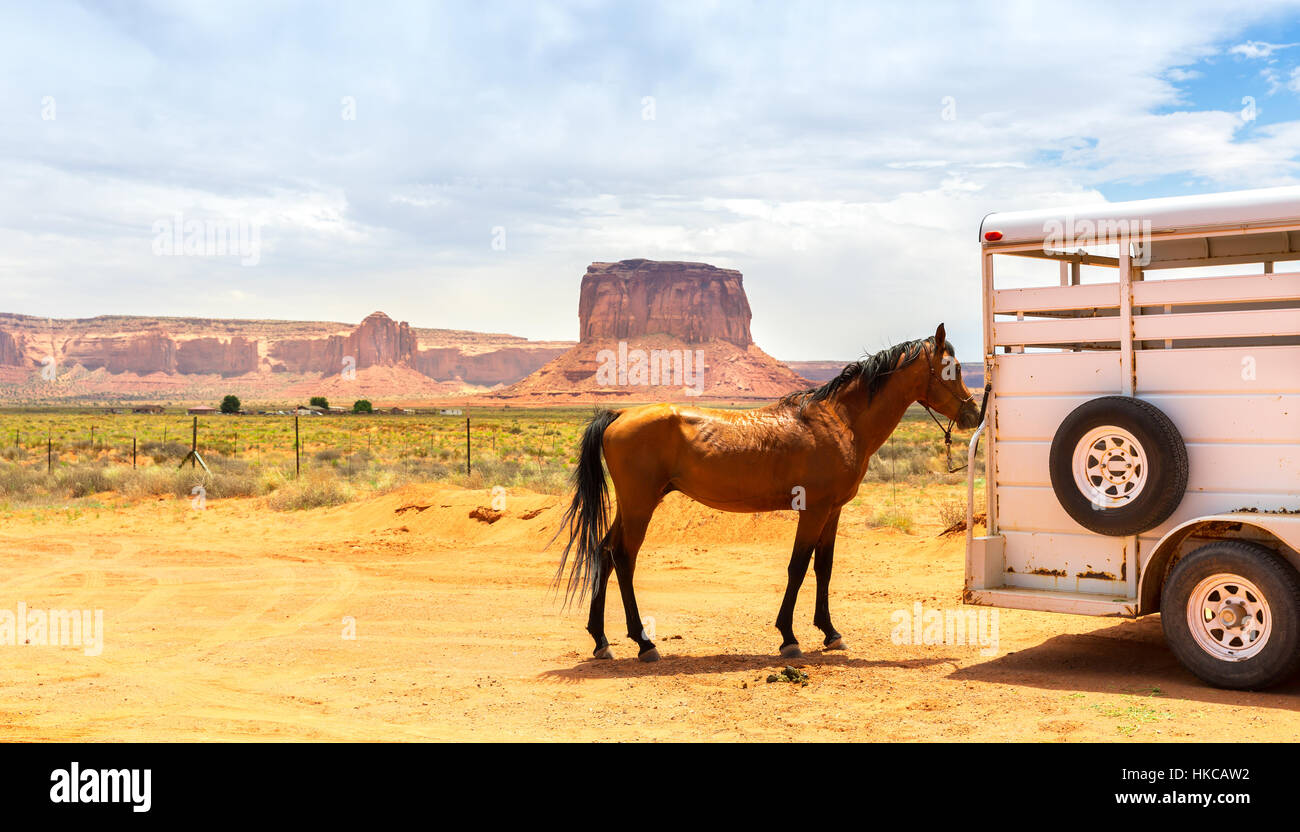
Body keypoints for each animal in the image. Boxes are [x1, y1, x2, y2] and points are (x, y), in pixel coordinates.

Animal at [553, 325, 977, 663]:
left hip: (633, 505)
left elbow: (823, 568)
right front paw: (789, 637)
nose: (974, 413)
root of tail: (620, 414)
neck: (840, 420)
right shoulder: (813, 509)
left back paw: (601, 641)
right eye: (952, 369)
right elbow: (798, 567)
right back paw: (644, 644)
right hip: (640, 505)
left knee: (604, 552)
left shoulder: (833, 511)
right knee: (623, 558)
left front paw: (830, 633)